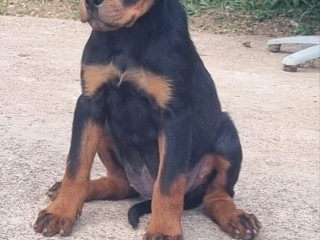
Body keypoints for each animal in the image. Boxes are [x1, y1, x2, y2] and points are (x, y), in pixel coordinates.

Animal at [33, 0, 262, 240]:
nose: (91, 3)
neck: (128, 35)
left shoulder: (175, 117)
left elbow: (168, 183)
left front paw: (163, 229)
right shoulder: (89, 104)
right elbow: (76, 165)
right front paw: (60, 211)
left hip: (228, 136)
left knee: (216, 196)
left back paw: (236, 217)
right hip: (105, 130)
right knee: (120, 184)